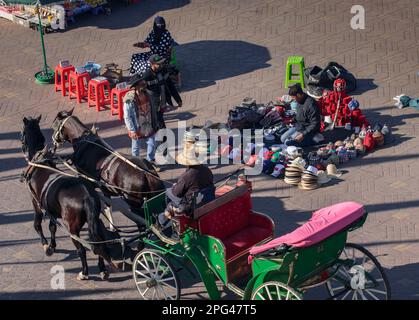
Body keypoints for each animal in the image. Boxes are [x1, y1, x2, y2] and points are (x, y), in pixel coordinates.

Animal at [20, 115, 117, 280]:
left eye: (22, 133)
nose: (22, 148)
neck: (39, 163)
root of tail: (87, 196)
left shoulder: (36, 204)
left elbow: (37, 225)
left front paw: (46, 245)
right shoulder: (51, 210)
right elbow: (52, 227)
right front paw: (52, 244)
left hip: (73, 227)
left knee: (81, 249)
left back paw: (84, 272)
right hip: (94, 221)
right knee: (97, 243)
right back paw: (102, 269)